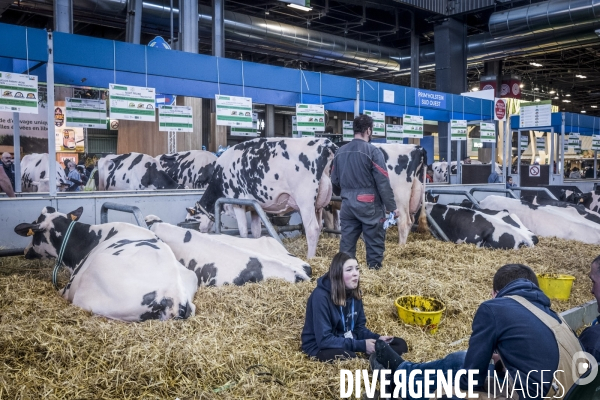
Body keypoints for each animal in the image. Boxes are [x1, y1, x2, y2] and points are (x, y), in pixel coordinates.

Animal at [186, 138, 338, 260]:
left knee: (312, 229)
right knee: (320, 227)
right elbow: (256, 231)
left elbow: (243, 230)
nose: (201, 231)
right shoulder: (255, 207)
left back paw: (310, 258)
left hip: (305, 201)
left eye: (191, 219)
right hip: (319, 205)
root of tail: (325, 143)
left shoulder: (237, 203)